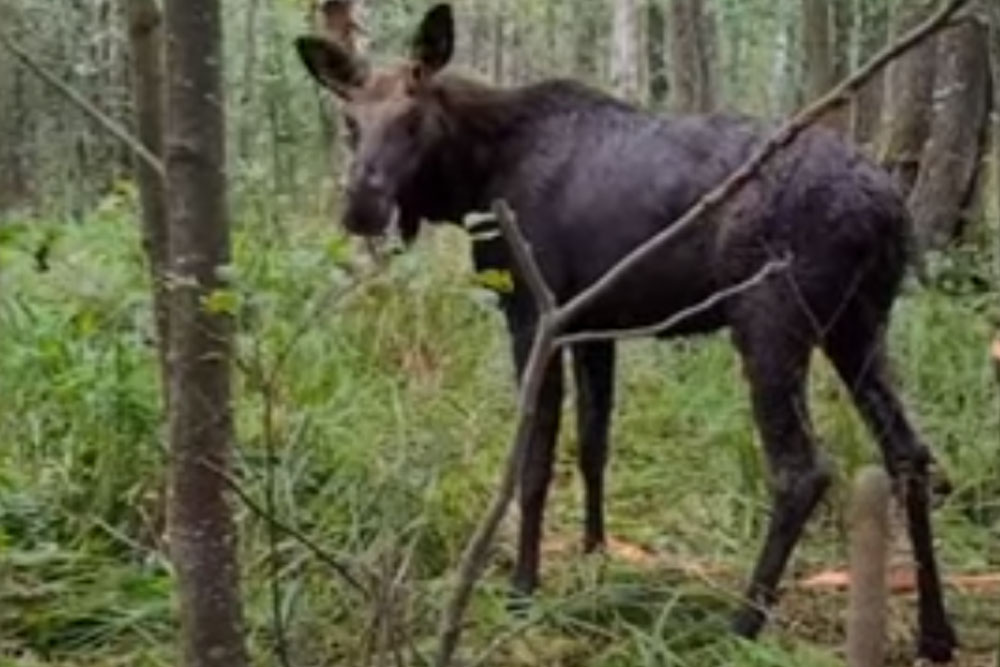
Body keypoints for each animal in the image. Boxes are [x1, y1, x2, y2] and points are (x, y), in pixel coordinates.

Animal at [294, 3, 952, 664]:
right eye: (350, 121)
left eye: (412, 117)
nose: (360, 205)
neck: (473, 180)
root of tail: (887, 205)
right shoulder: (593, 326)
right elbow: (593, 445)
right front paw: (596, 554)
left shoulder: (533, 315)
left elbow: (535, 463)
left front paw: (523, 589)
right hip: (857, 324)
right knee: (910, 452)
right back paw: (935, 630)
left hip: (773, 319)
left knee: (802, 470)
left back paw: (739, 627)